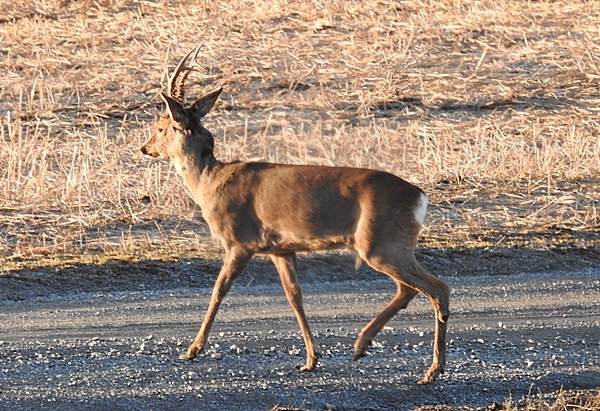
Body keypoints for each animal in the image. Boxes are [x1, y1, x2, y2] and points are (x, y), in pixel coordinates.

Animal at [141, 45, 450, 386]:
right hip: (387, 244)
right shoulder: (281, 249)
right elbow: (295, 297)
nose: (145, 148)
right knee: (410, 289)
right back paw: (365, 346)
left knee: (437, 288)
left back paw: (429, 369)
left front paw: (193, 349)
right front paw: (311, 359)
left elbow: (219, 290)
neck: (209, 181)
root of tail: (419, 196)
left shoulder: (240, 241)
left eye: (159, 127)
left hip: (381, 242)